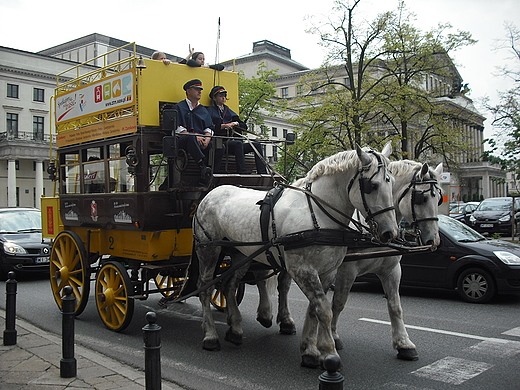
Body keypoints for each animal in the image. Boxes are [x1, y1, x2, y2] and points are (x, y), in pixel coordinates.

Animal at [194, 144, 398, 368]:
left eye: (392, 183)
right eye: (373, 185)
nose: (390, 233)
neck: (318, 213)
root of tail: (211, 192)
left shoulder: (327, 272)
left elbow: (314, 309)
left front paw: (311, 350)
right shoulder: (302, 269)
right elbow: (324, 310)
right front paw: (329, 353)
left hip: (241, 254)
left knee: (229, 285)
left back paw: (236, 329)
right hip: (208, 250)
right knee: (205, 288)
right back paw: (210, 335)